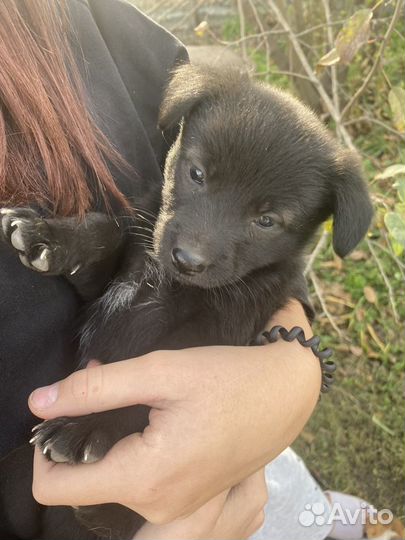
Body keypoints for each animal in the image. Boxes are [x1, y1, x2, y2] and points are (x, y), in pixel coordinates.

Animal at [0, 64, 372, 540]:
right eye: (196, 174)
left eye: (268, 221)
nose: (187, 260)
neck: (171, 285)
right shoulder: (108, 285)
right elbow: (109, 231)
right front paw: (50, 236)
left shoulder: (210, 337)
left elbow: (148, 390)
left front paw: (88, 426)